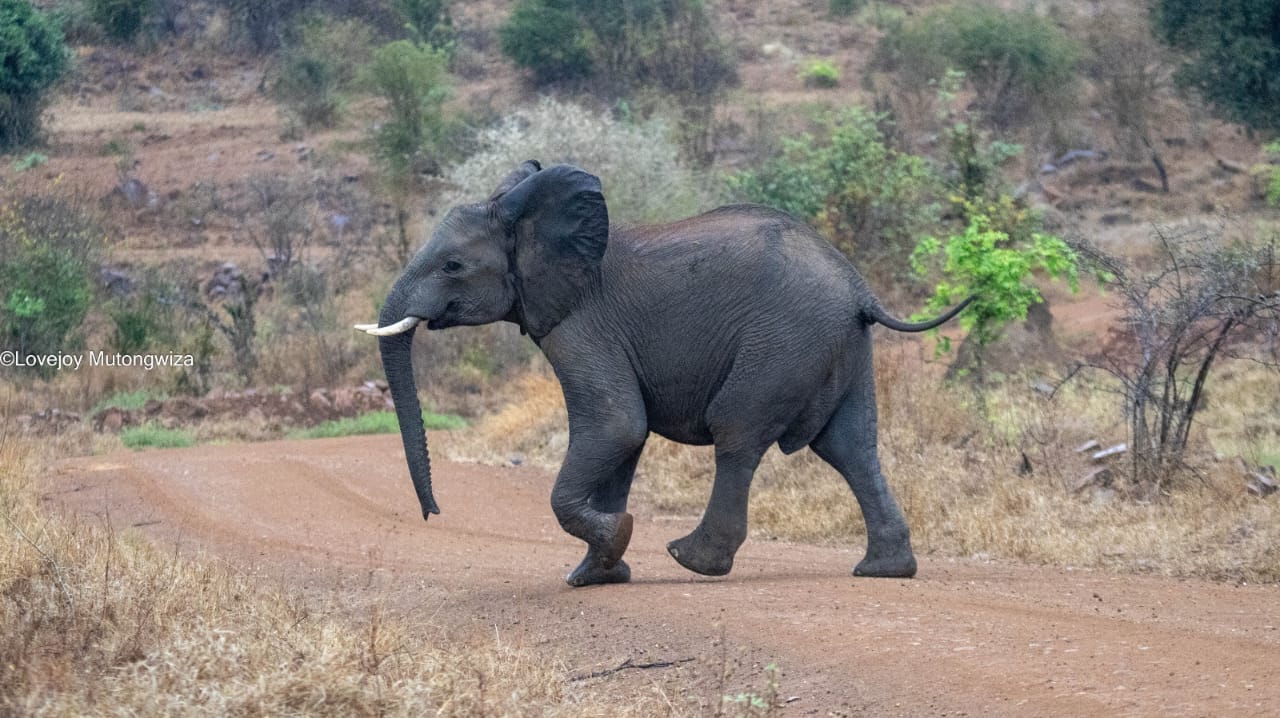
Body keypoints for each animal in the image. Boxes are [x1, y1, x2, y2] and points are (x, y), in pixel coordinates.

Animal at [356, 160, 970, 587]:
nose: (433, 513)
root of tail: (859, 288)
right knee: (851, 445)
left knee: (738, 434)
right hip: (838, 345)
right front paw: (595, 577)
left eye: (453, 265)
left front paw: (613, 545)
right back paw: (884, 570)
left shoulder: (582, 324)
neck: (529, 220)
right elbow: (622, 444)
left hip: (782, 343)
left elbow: (617, 426)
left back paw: (693, 559)